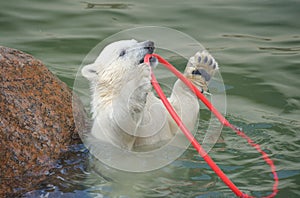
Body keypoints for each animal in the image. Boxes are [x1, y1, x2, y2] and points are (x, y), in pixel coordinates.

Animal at [82, 39, 218, 151]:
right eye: (122, 52)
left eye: (135, 41)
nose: (150, 44)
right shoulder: (104, 127)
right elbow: (120, 128)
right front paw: (138, 79)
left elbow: (181, 118)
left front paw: (202, 66)